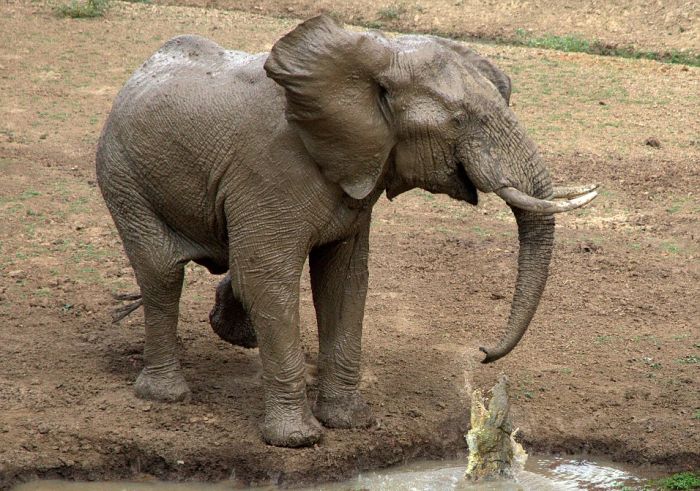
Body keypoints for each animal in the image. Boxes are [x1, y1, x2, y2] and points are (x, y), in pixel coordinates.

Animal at [97, 14, 596, 450]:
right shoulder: (269, 170)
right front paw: (298, 441)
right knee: (162, 274)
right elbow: (270, 280)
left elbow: (345, 282)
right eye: (459, 119)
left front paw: (351, 423)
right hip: (123, 177)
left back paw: (232, 330)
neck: (375, 59)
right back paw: (167, 395)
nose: (484, 352)